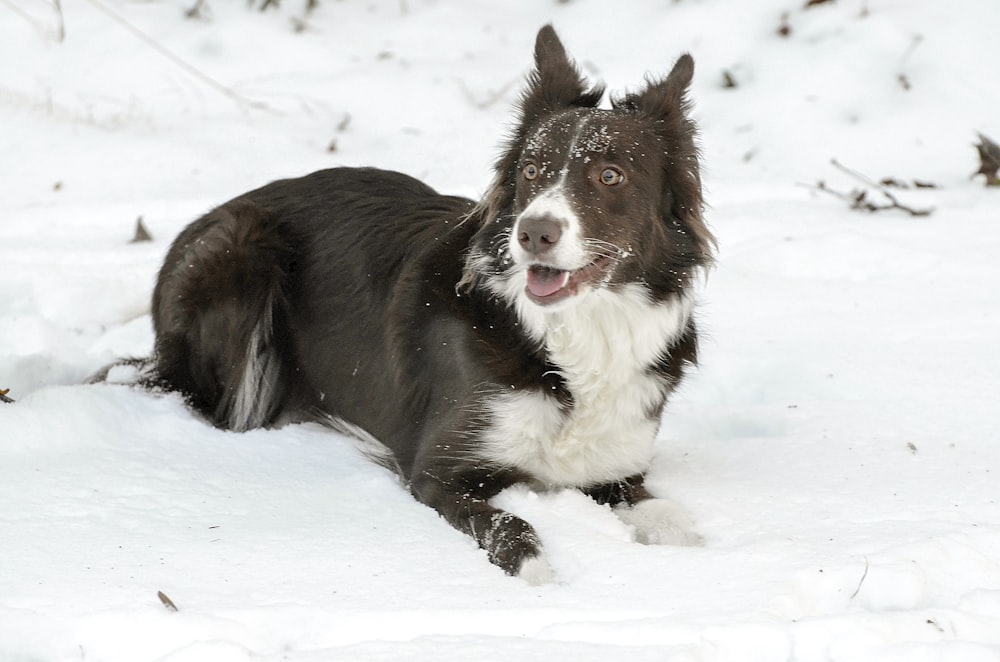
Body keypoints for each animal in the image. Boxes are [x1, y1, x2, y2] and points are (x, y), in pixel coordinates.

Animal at [146, 26, 712, 584]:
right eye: (531, 170)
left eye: (610, 175)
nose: (532, 233)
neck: (571, 335)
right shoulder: (440, 472)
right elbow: (513, 529)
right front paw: (540, 573)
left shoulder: (618, 470)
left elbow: (676, 521)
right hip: (242, 252)